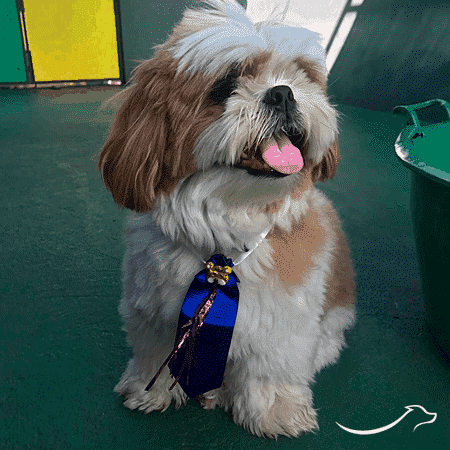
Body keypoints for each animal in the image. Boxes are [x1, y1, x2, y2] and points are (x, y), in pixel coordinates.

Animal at [98, 0, 356, 439]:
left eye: (300, 75)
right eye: (224, 86)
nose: (283, 93)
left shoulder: (282, 322)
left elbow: (271, 368)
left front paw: (274, 411)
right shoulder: (155, 310)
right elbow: (155, 352)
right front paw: (151, 390)